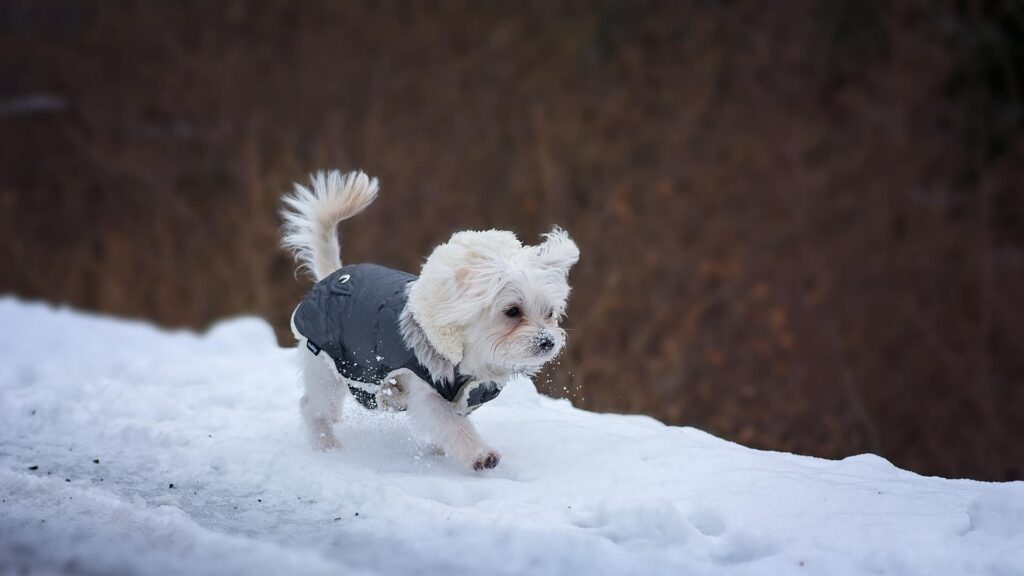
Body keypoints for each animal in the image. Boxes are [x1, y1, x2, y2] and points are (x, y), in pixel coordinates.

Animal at [280, 169, 581, 467]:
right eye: (513, 311)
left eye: (550, 313)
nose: (547, 341)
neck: (470, 356)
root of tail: (332, 275)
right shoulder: (426, 391)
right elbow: (452, 425)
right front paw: (480, 454)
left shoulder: (465, 397)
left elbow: (449, 428)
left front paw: (442, 452)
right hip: (326, 366)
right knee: (312, 407)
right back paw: (326, 444)